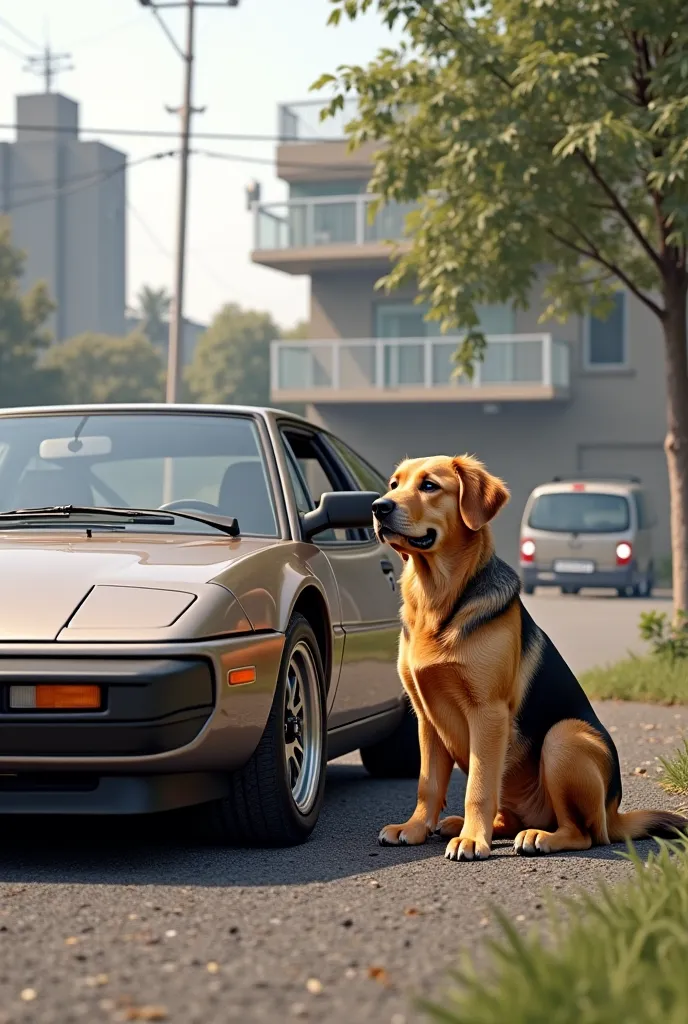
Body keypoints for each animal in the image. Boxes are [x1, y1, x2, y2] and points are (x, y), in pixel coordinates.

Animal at [372, 452, 683, 860]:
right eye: (394, 484)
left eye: (429, 486)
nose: (378, 507)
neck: (436, 599)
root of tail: (615, 814)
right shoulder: (426, 716)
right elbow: (429, 785)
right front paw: (415, 828)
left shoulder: (487, 712)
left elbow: (478, 787)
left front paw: (472, 840)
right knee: (511, 816)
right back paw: (465, 825)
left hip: (564, 739)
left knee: (584, 833)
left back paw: (539, 837)